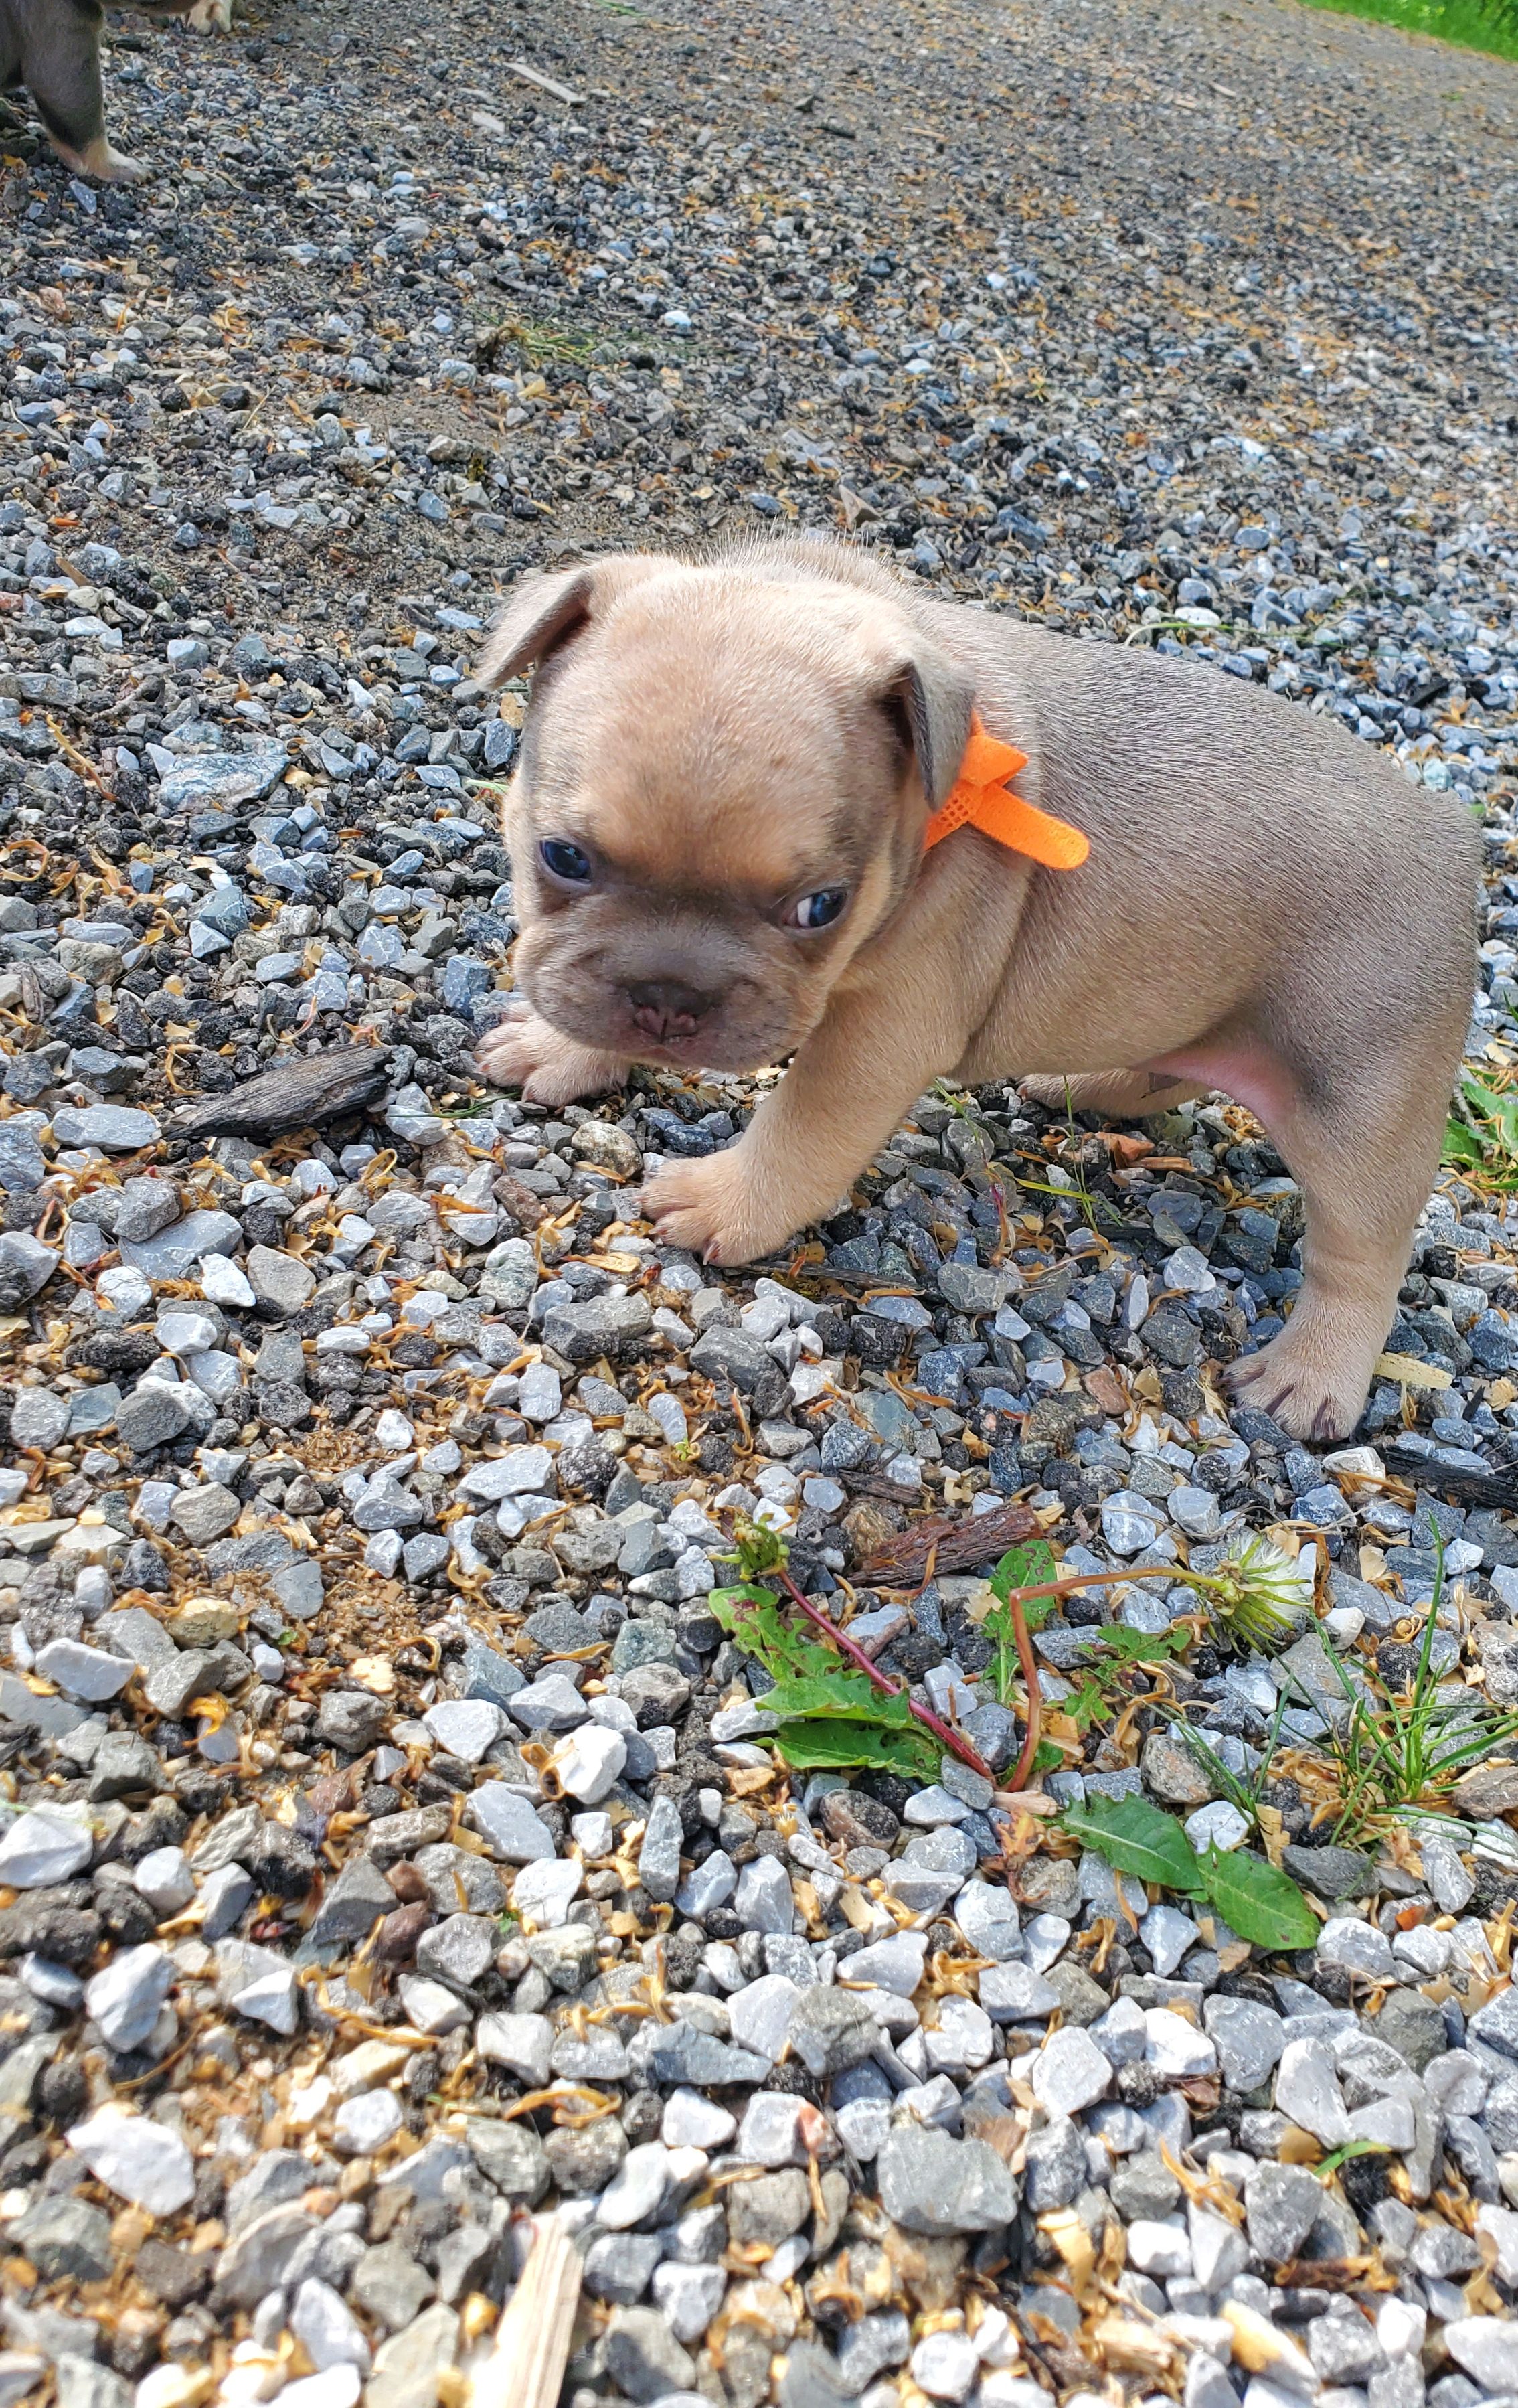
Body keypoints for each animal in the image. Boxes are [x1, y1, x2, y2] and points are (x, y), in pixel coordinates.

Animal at [471, 542, 1472, 1445]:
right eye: (564, 857)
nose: (670, 996)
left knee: (1362, 1253)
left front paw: (728, 1203)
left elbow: (803, 1124)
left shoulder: (881, 1030)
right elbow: (578, 986)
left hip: (1355, 1104)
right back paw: (1083, 1085)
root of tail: (1455, 840)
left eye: (820, 908)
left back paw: (1312, 1376)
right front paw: (565, 1050)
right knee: (1172, 1063)